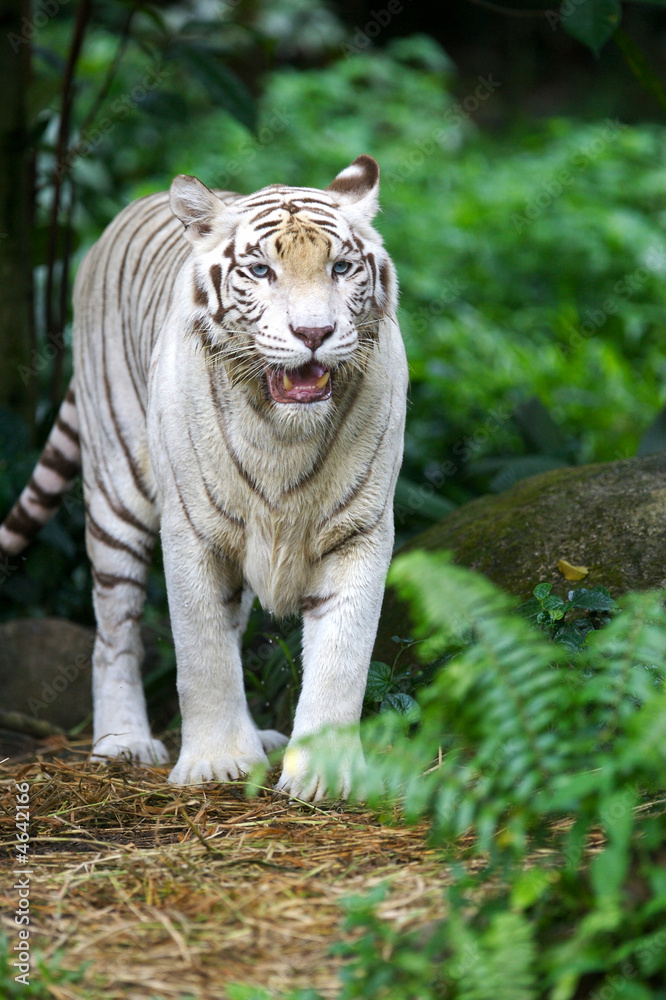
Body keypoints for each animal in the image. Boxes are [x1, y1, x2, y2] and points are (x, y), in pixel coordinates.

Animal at [0, 154, 408, 800]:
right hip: (117, 490)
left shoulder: (359, 529)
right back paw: (122, 742)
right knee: (113, 629)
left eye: (341, 267)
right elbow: (202, 653)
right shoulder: (192, 529)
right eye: (261, 270)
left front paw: (325, 776)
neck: (283, 434)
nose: (314, 334)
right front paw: (217, 763)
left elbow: (343, 655)